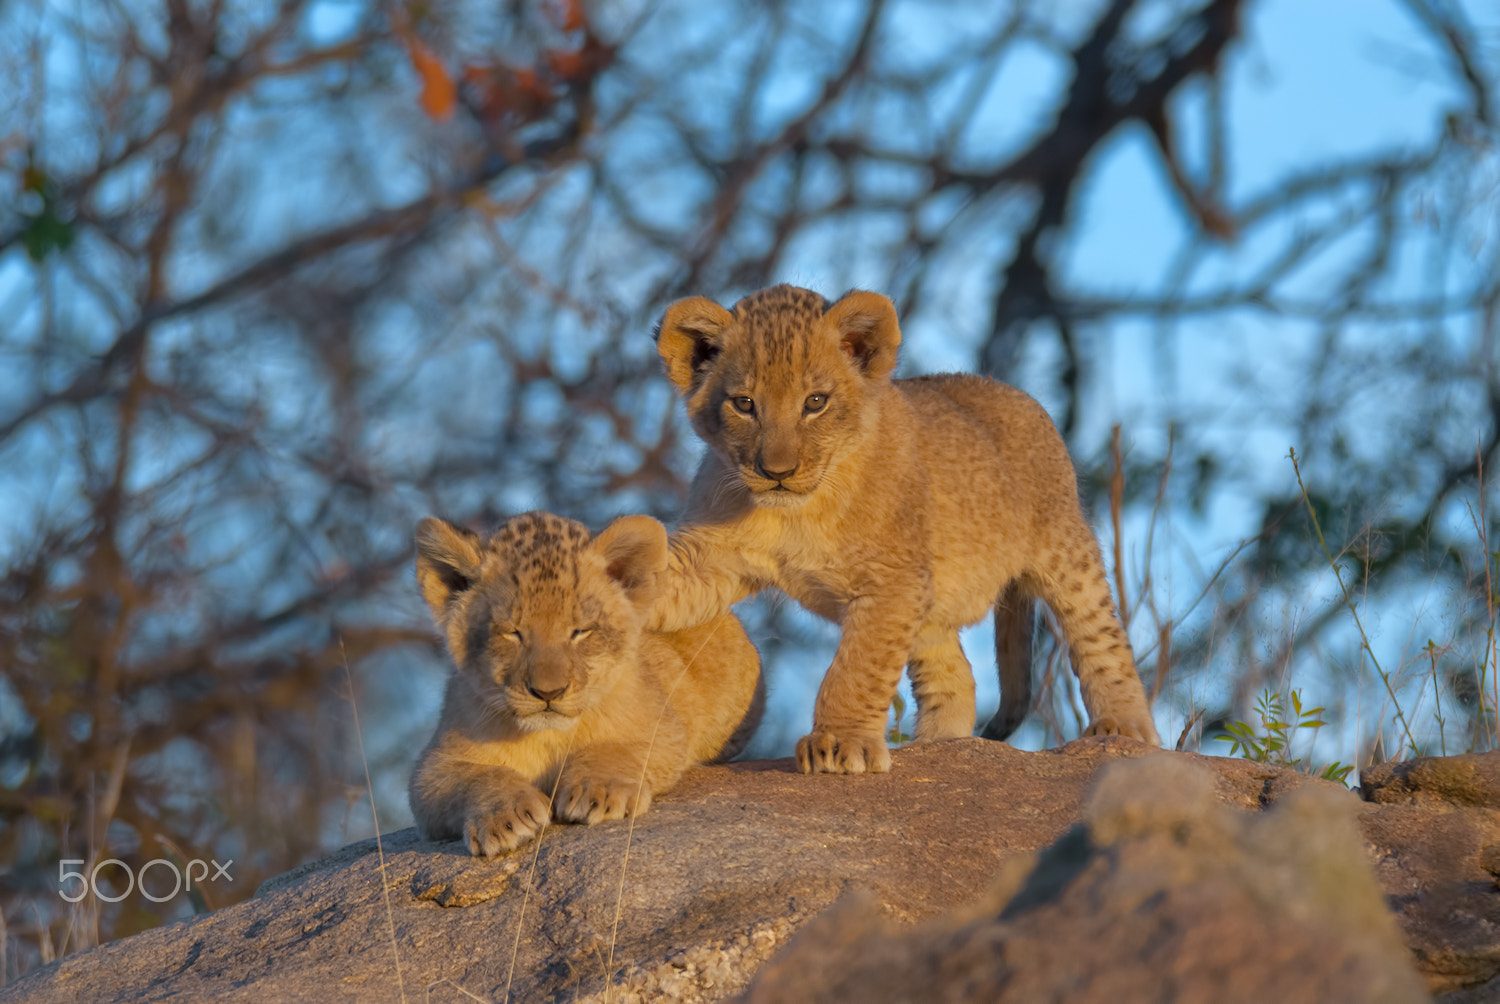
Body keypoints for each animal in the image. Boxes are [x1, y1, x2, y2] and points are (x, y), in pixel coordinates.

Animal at [408, 511, 764, 855]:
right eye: (512, 632)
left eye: (580, 631)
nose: (548, 692)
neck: (549, 736)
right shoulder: (431, 767)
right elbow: (476, 776)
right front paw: (504, 816)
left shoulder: (666, 728)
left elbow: (616, 748)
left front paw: (599, 792)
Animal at [650, 283, 1160, 775]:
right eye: (744, 404)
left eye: (815, 402)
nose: (777, 471)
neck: (793, 512)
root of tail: (1014, 392)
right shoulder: (711, 558)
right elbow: (661, 581)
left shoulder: (891, 582)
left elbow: (856, 670)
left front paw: (841, 743)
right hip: (929, 606)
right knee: (954, 676)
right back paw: (938, 746)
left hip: (1065, 551)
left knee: (1101, 637)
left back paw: (1124, 727)